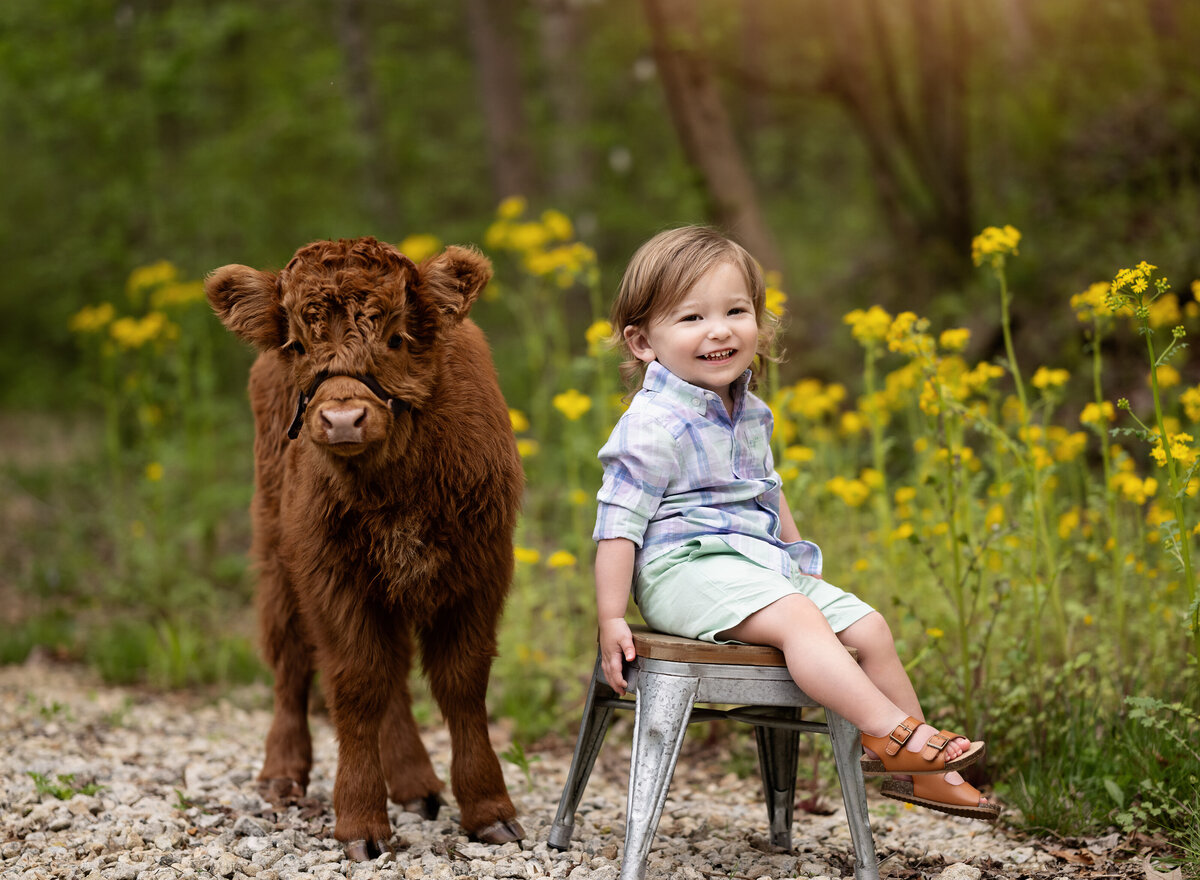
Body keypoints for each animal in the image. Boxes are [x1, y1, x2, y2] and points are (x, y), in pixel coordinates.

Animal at [206, 235, 525, 859]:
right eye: (298, 344)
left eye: (397, 338)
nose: (342, 418)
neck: (393, 487)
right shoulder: (331, 577)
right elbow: (355, 684)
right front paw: (359, 820)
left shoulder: (480, 571)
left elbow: (461, 684)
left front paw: (488, 810)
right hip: (276, 556)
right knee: (291, 661)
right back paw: (282, 773)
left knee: (393, 674)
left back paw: (414, 782)